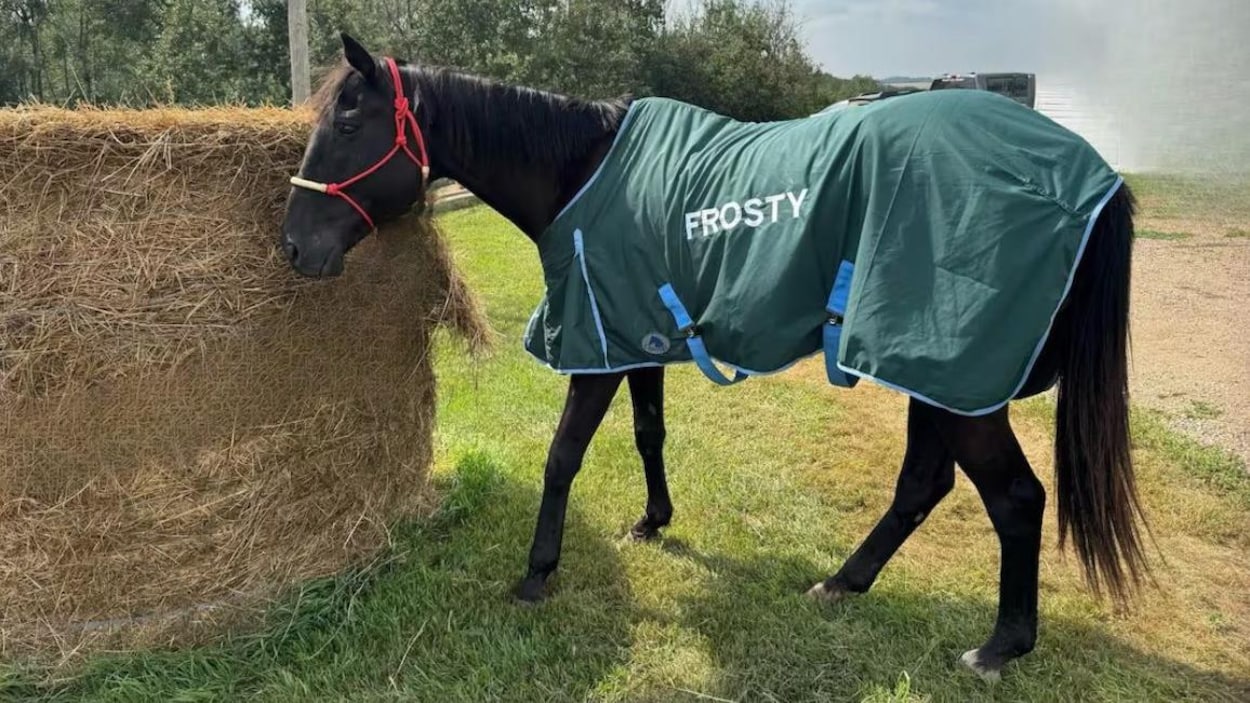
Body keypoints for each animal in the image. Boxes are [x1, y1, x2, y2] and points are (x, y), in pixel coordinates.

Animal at [280, 34, 1149, 681]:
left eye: (347, 128)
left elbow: (562, 456)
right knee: (924, 486)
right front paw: (653, 521)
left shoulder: (595, 351)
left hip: (954, 376)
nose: (293, 247)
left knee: (1016, 499)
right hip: (931, 372)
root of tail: (1089, 175)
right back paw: (842, 583)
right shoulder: (636, 338)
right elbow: (648, 434)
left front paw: (537, 572)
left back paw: (998, 646)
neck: (582, 170)